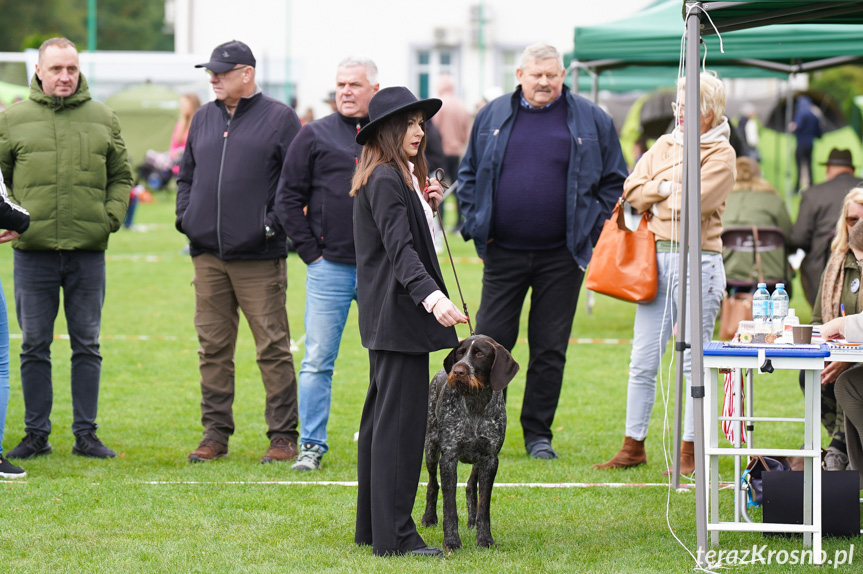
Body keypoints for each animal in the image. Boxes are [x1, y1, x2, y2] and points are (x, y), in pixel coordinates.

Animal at [420, 336, 516, 552]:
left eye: (480, 354)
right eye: (460, 352)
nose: (457, 371)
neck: (475, 402)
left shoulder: (490, 459)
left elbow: (484, 506)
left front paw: (485, 539)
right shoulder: (448, 458)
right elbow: (449, 507)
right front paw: (452, 541)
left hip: (477, 460)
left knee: (471, 485)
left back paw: (472, 520)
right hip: (431, 448)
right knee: (432, 483)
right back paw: (429, 518)